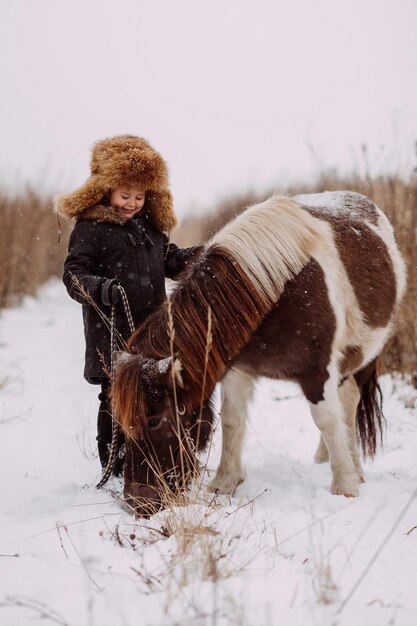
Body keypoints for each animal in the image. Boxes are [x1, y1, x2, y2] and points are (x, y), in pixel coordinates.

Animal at [112, 193, 404, 516]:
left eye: (154, 421)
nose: (137, 502)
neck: (273, 291)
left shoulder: (318, 373)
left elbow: (326, 420)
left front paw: (345, 486)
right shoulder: (238, 370)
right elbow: (232, 420)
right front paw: (225, 482)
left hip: (362, 359)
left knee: (349, 404)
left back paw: (355, 470)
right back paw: (323, 457)